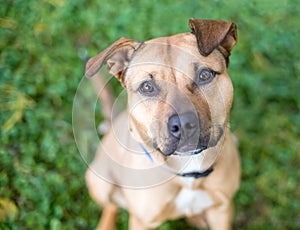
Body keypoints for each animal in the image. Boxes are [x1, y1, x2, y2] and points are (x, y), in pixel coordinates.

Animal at [85, 18, 240, 230]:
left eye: (204, 75)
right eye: (147, 87)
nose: (184, 124)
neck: (188, 171)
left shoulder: (222, 210)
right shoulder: (141, 222)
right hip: (100, 183)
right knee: (111, 206)